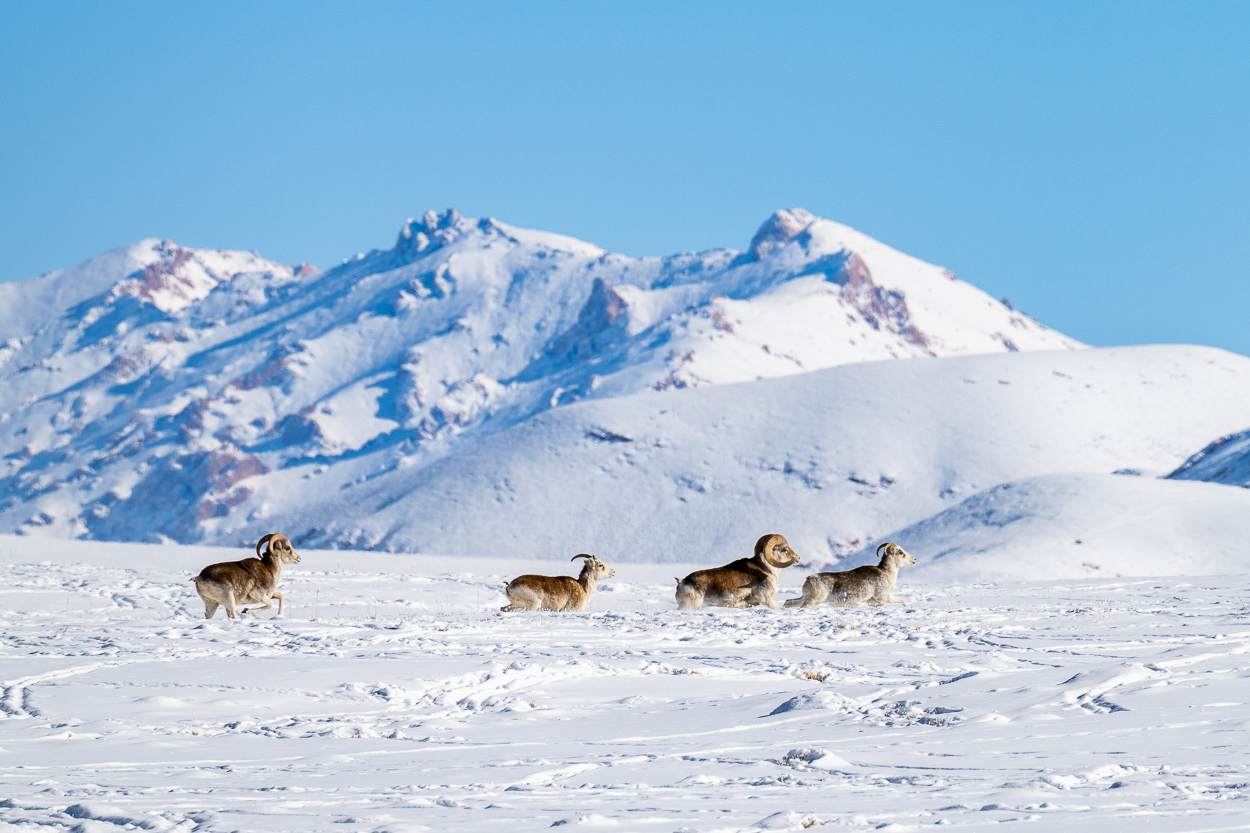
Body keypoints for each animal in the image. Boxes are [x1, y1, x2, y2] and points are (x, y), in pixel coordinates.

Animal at [780, 537, 920, 602]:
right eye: (901, 552)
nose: (914, 559)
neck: (886, 574)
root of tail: (809, 579)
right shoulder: (884, 597)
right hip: (813, 601)